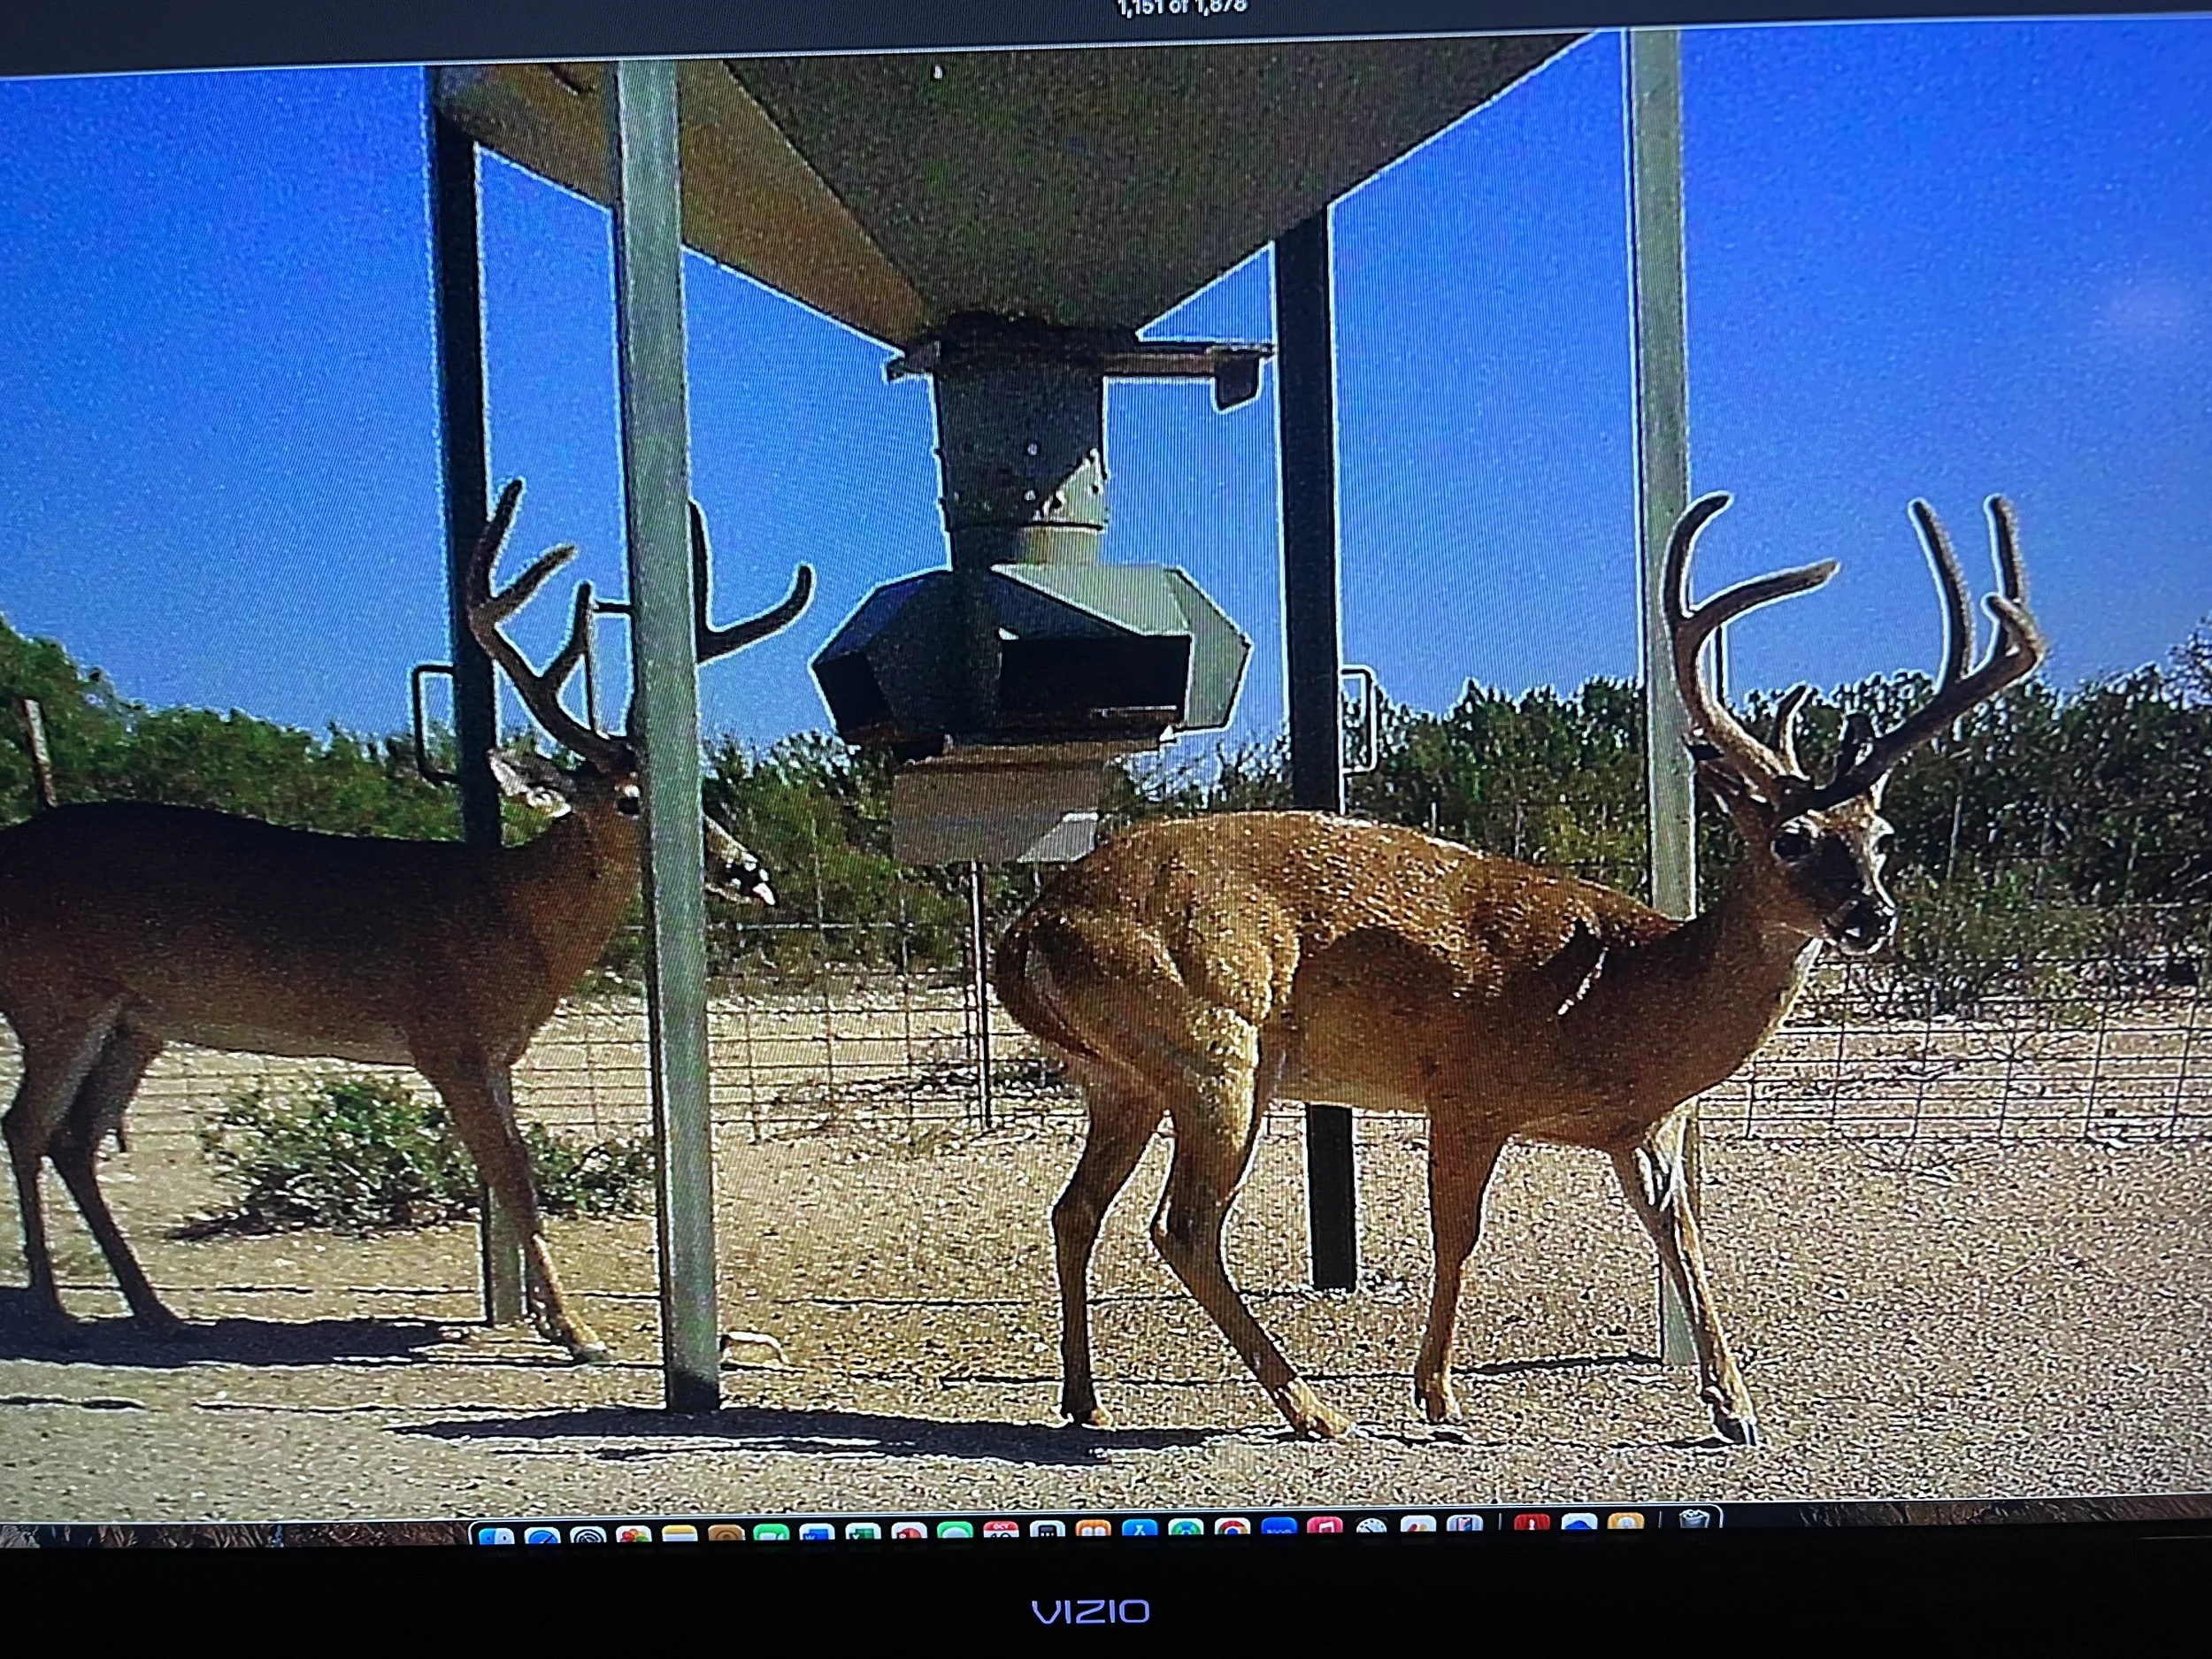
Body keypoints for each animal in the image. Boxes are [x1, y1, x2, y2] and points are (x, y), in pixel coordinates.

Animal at [0, 478, 810, 1362]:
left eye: (696, 782)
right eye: (631, 799)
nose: (747, 870)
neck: (507, 916)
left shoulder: (495, 1051)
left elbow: (516, 1174)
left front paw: (552, 1316)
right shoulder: (443, 1037)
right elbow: (514, 1178)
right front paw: (578, 1331)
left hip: (135, 1021)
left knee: (75, 1137)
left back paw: (152, 1311)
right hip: (54, 997)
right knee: (26, 1126)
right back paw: (55, 1311)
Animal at [996, 492, 2045, 1444]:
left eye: (1881, 835)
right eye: (1791, 837)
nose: (1871, 915)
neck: (1631, 997)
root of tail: (1030, 927)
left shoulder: (1643, 1130)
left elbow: (1682, 1236)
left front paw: (1736, 1407)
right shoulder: (1470, 1091)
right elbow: (1457, 1236)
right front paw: (1438, 1396)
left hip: (1124, 1077)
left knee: (1076, 1209)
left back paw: (1086, 1400)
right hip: (1218, 1051)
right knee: (1181, 1224)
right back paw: (1313, 1409)